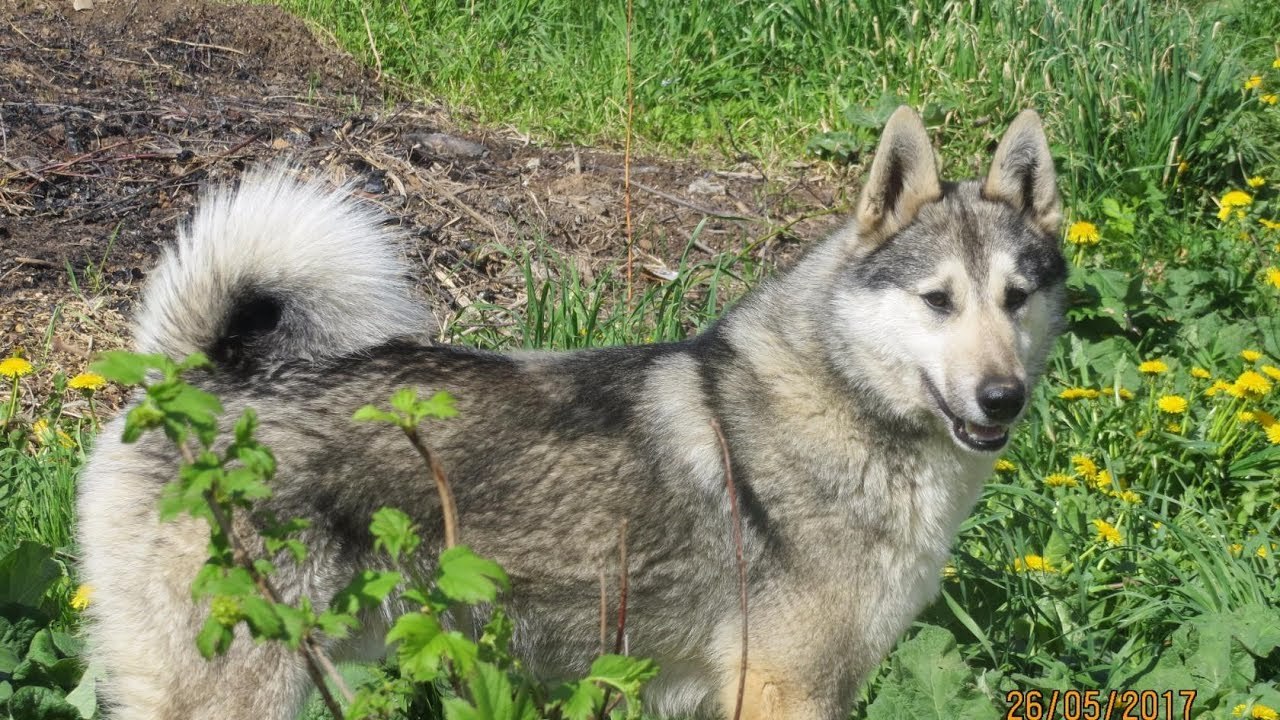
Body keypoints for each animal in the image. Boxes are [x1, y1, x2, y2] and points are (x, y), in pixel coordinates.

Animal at [74, 106, 1064, 717]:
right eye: (938, 301)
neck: (841, 404)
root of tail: (190, 386)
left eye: (1016, 297)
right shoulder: (786, 690)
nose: (1002, 395)